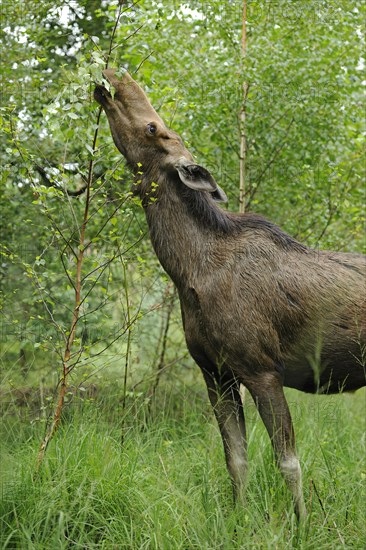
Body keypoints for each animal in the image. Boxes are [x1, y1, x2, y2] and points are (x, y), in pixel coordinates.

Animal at [95, 70, 366, 520]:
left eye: (154, 128)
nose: (115, 76)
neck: (187, 271)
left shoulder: (262, 370)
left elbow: (288, 461)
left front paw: (301, 523)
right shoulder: (215, 374)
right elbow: (235, 459)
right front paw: (239, 519)